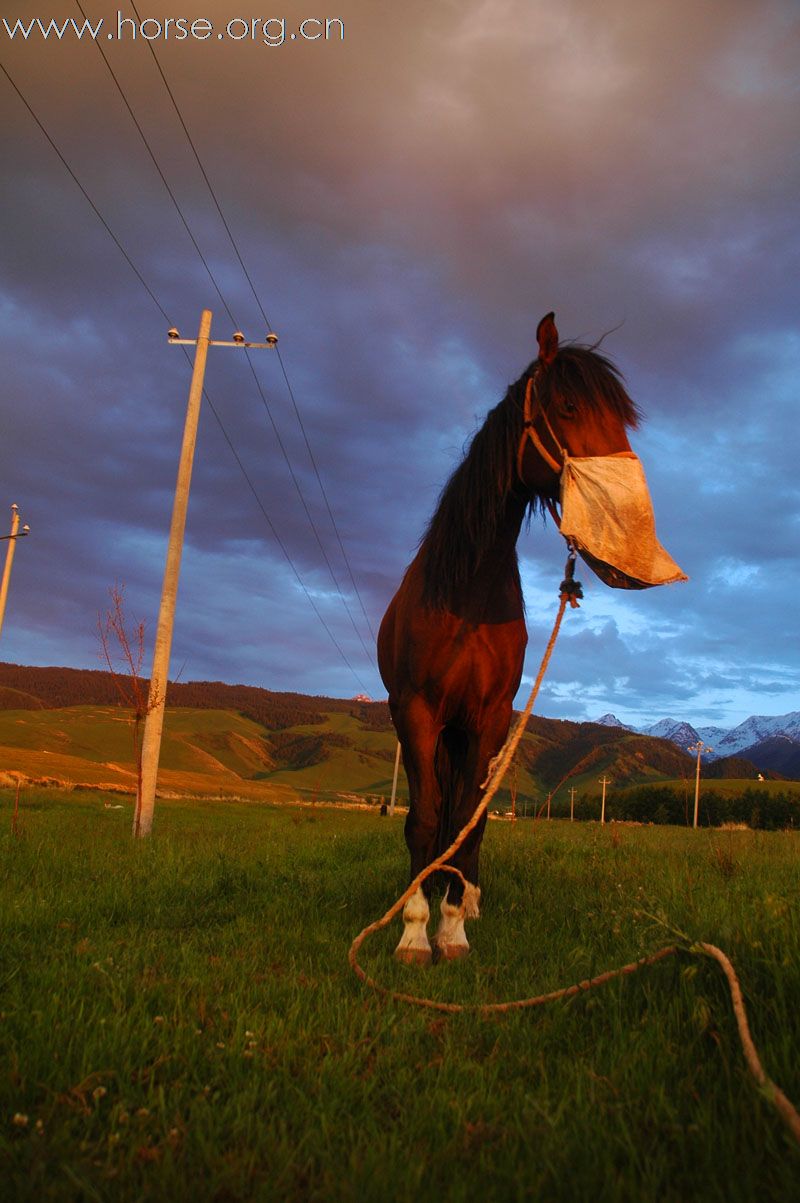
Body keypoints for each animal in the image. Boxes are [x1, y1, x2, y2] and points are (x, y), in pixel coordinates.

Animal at [377, 315, 639, 962]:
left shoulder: (491, 716)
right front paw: (414, 930)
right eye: (568, 405)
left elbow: (470, 823)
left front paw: (453, 926)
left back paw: (464, 895)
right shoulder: (416, 711)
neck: (467, 592)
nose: (623, 517)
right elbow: (424, 820)